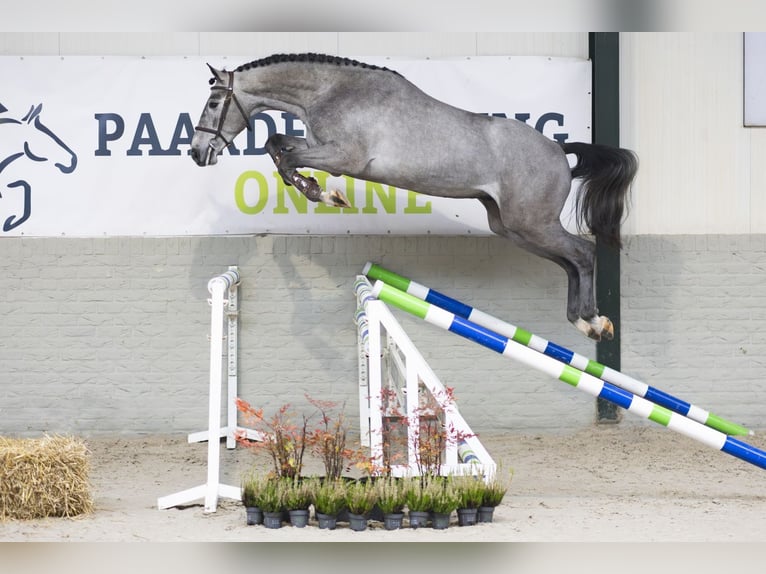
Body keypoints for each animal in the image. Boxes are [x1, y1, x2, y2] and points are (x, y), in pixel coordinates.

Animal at [192, 53, 640, 342]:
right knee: (569, 262)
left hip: (532, 223)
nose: (197, 153)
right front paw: (317, 190)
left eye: (214, 102)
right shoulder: (322, 148)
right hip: (512, 227)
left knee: (582, 253)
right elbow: (277, 144)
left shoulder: (344, 157)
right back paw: (583, 321)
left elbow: (285, 156)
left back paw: (593, 322)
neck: (333, 91)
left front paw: (323, 194)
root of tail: (558, 150)